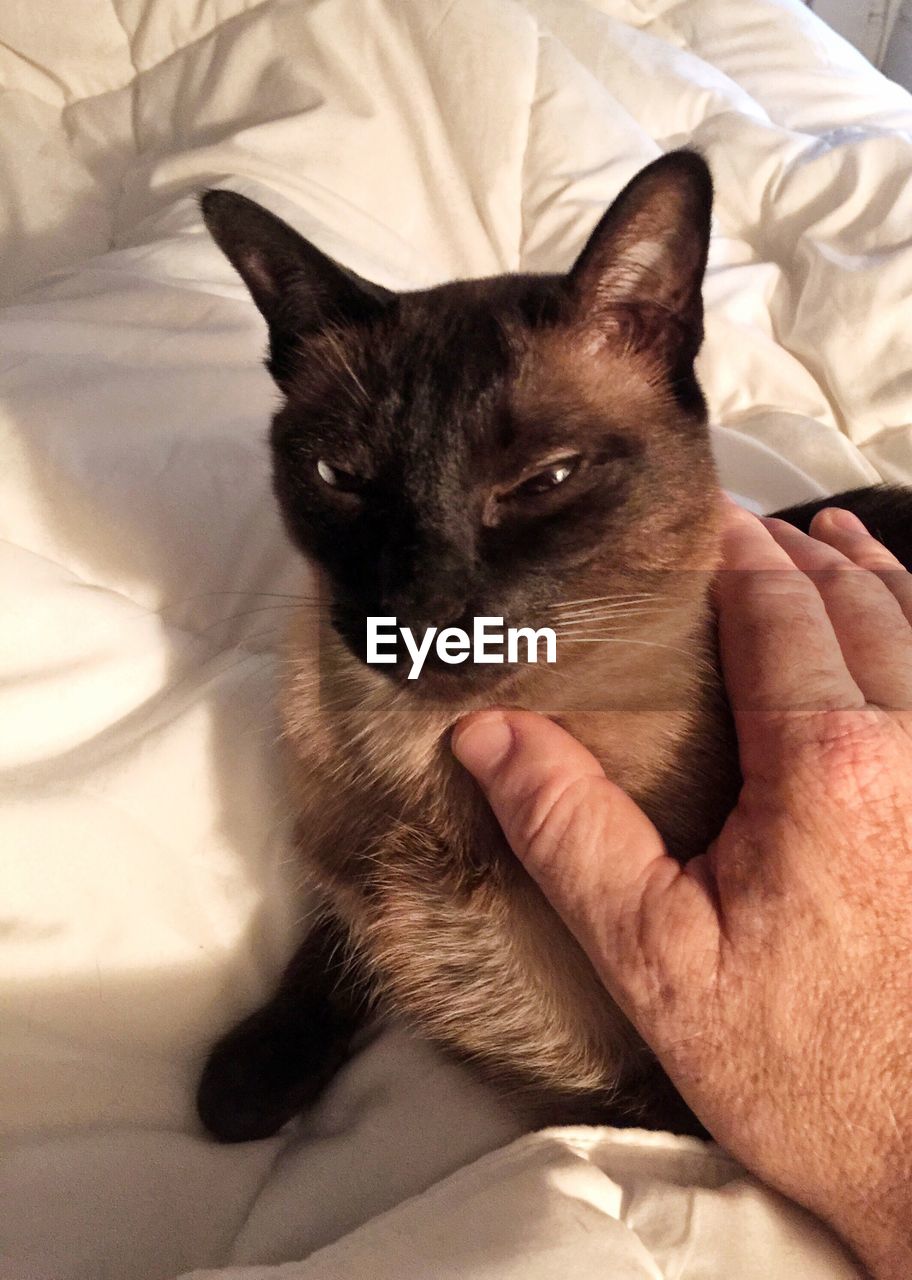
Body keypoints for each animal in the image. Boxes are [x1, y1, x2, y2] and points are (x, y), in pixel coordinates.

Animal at [192, 147, 912, 1141]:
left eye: (544, 481)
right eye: (340, 477)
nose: (421, 613)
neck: (428, 776)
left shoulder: (656, 1109)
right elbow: (329, 950)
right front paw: (245, 1087)